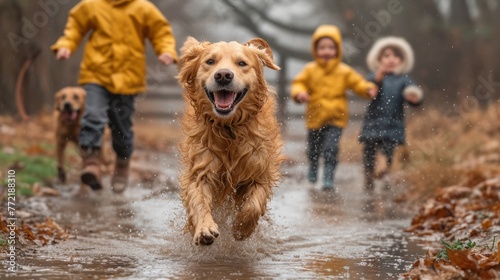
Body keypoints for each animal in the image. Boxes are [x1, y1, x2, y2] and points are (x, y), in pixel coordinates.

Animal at [177, 37, 286, 245]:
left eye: (242, 63)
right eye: (210, 61)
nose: (223, 75)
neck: (229, 127)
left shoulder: (260, 170)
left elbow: (253, 205)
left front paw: (241, 228)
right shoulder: (201, 168)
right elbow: (199, 200)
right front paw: (204, 228)